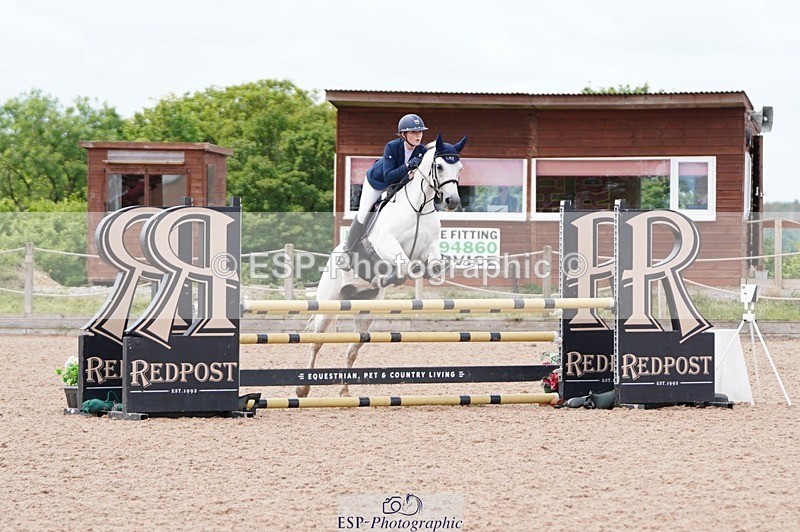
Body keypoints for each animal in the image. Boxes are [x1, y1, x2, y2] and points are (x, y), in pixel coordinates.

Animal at [296, 134, 468, 397]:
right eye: (439, 166)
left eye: (459, 168)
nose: (452, 201)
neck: (418, 207)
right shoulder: (386, 244)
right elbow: (405, 265)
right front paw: (395, 276)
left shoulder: (429, 247)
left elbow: (434, 263)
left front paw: (431, 271)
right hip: (328, 304)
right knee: (316, 343)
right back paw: (302, 389)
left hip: (366, 309)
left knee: (353, 348)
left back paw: (344, 391)